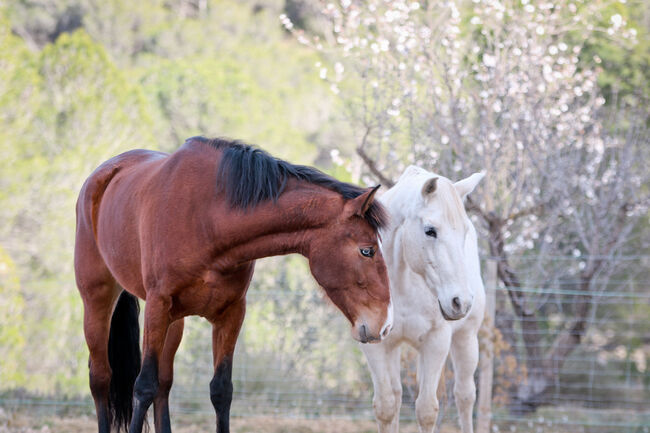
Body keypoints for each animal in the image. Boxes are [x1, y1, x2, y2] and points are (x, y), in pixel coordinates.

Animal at [74, 136, 392, 432]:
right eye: (367, 251)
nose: (384, 325)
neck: (208, 219)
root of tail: (102, 175)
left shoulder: (231, 314)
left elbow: (220, 390)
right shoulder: (157, 306)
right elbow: (143, 386)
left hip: (175, 323)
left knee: (164, 385)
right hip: (98, 301)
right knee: (101, 378)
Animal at [362, 166, 484, 432]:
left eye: (464, 232)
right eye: (430, 231)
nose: (460, 302)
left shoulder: (435, 342)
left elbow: (427, 410)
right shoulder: (375, 342)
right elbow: (386, 407)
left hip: (466, 338)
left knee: (465, 396)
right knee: (397, 396)